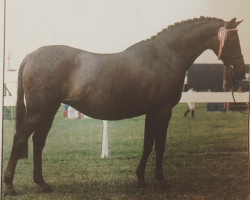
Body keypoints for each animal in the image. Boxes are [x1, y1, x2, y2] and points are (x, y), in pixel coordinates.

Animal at [3, 17, 245, 195]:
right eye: (233, 40)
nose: (242, 71)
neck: (164, 56)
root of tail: (32, 55)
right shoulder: (163, 110)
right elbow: (160, 145)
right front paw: (161, 180)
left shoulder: (152, 111)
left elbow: (148, 144)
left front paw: (140, 179)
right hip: (38, 111)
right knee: (20, 138)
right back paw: (10, 186)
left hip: (49, 110)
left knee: (38, 141)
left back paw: (42, 184)